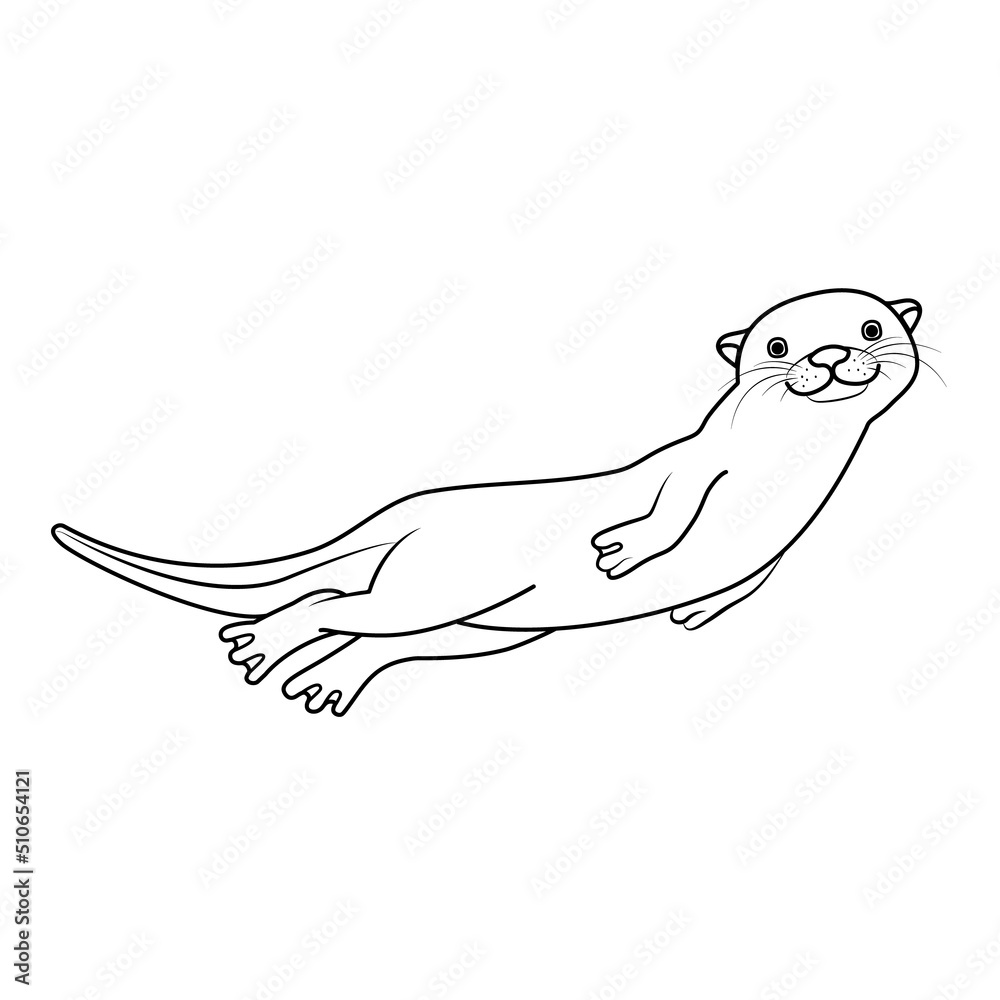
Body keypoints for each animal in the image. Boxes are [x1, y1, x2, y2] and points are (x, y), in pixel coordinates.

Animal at [52, 288, 925, 716]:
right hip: (440, 587)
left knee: (367, 628)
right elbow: (669, 513)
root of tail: (413, 511)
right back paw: (266, 644)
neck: (794, 471)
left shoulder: (783, 541)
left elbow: (754, 578)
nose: (829, 354)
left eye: (872, 326)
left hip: (486, 625)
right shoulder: (695, 468)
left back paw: (319, 679)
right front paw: (627, 551)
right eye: (777, 346)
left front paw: (698, 609)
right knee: (337, 604)